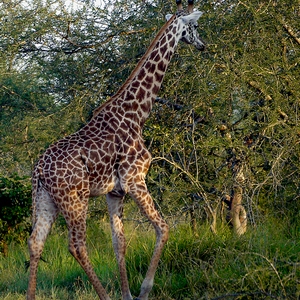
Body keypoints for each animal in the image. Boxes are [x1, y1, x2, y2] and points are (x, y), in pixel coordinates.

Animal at [27, 1, 205, 298]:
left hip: (45, 199)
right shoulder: (135, 180)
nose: (202, 44)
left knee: (35, 243)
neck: (137, 113)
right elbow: (163, 228)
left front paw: (128, 294)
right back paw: (104, 294)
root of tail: (39, 169)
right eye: (195, 26)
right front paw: (143, 290)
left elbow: (118, 243)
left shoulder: (115, 192)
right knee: (76, 245)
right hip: (75, 199)